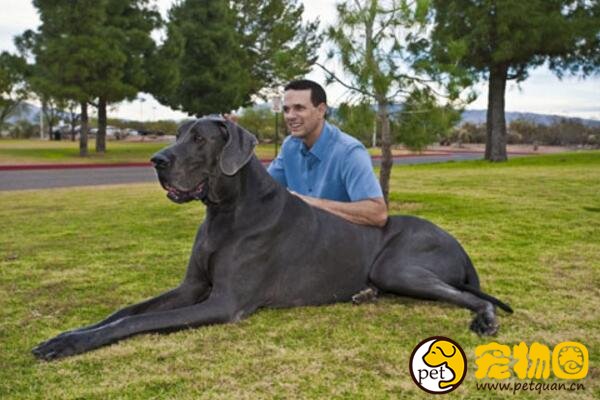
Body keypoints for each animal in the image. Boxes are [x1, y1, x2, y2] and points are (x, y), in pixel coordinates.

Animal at [31, 117, 510, 360]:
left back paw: (485, 319)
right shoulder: (191, 287)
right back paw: (364, 294)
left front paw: (71, 344)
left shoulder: (224, 302)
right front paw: (66, 336)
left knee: (472, 296)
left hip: (397, 266)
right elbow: (124, 311)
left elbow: (135, 323)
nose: (156, 160)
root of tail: (461, 248)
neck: (225, 212)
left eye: (199, 138)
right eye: (177, 134)